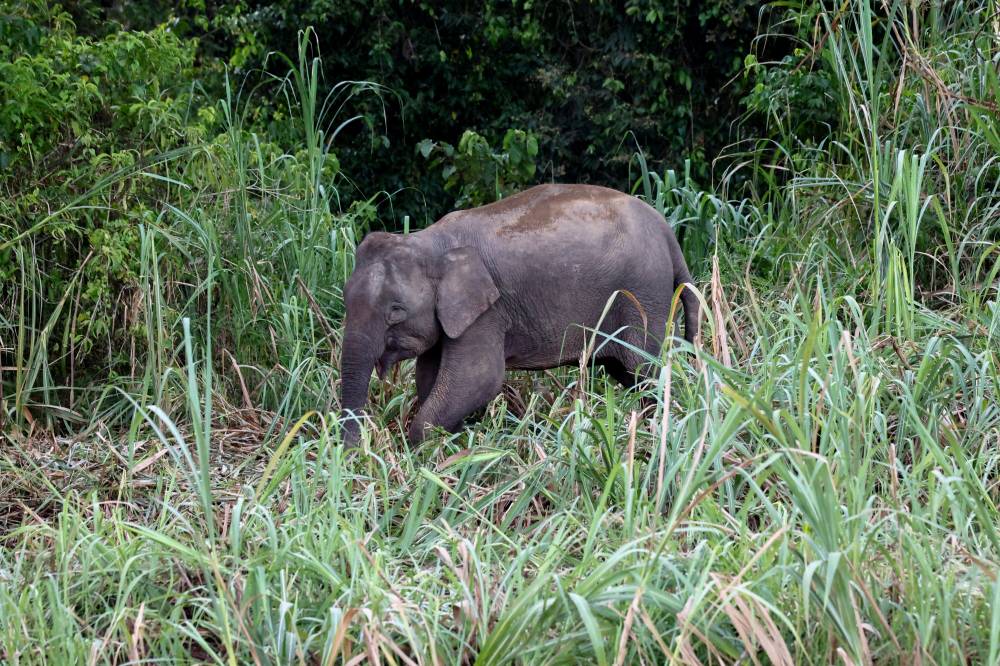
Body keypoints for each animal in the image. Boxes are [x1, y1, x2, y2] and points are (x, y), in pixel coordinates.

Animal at [339, 183, 698, 445]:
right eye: (345, 298)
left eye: (396, 311)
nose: (355, 452)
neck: (427, 241)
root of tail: (668, 233)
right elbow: (430, 376)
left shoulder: (486, 313)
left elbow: (478, 377)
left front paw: (421, 447)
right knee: (628, 373)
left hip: (643, 295)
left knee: (644, 371)